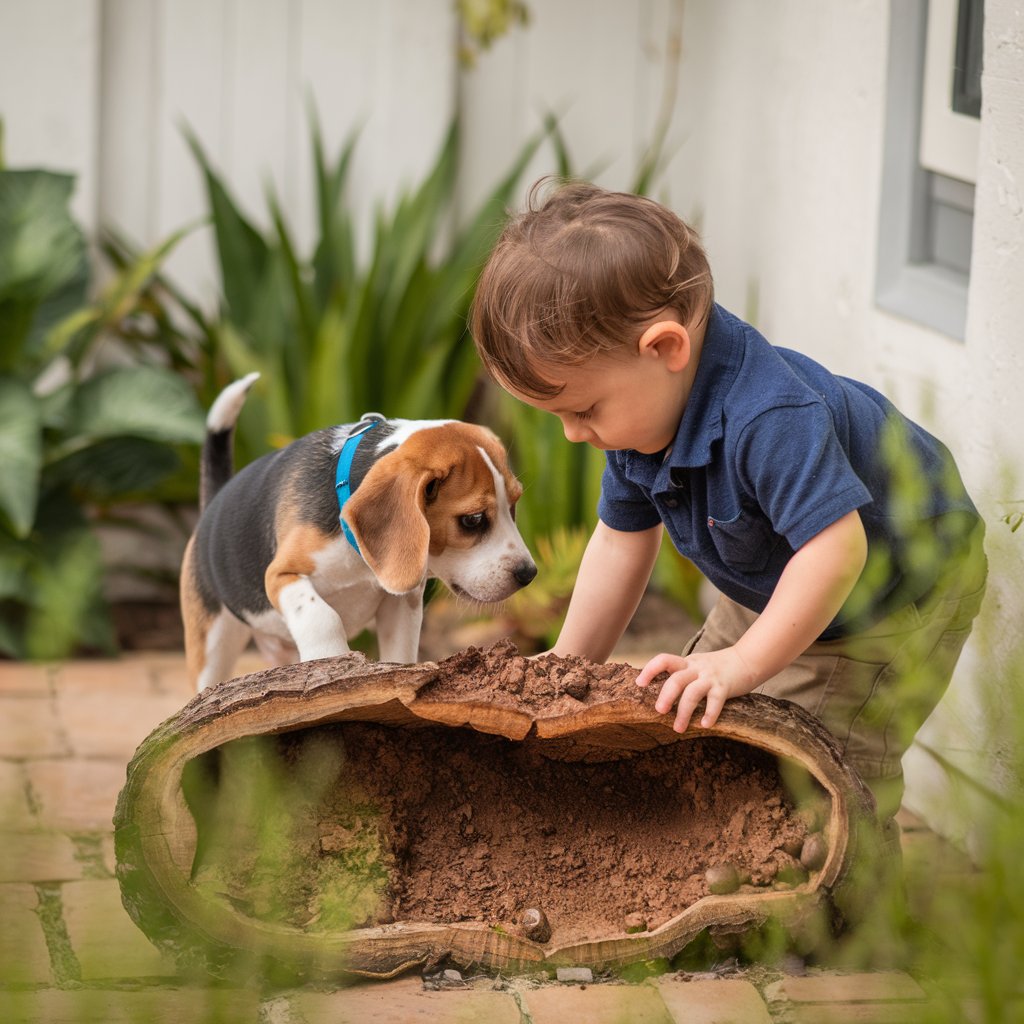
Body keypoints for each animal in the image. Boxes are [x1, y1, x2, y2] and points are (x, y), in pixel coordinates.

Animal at [182, 372, 536, 692]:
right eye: (472, 520)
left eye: (515, 505)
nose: (528, 574)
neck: (354, 553)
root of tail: (214, 501)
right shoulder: (281, 575)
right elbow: (322, 615)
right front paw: (331, 659)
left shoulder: (400, 602)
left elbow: (399, 653)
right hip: (213, 644)